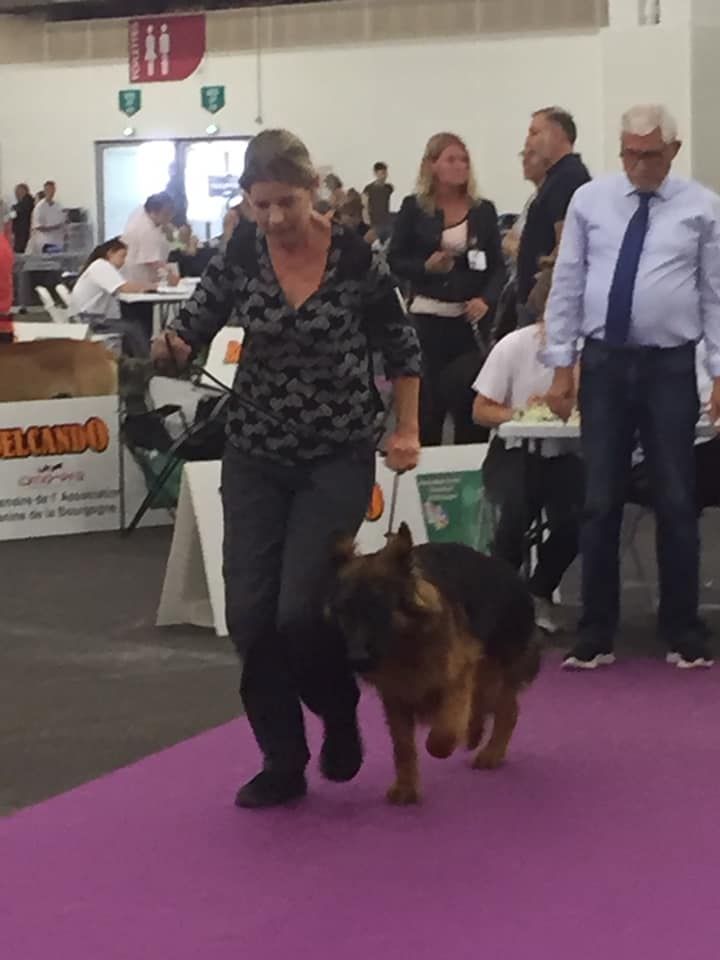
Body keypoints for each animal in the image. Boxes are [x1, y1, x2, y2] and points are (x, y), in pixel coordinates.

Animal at [328, 524, 540, 804]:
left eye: (378, 608)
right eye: (344, 612)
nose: (357, 660)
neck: (407, 647)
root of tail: (512, 575)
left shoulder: (456, 679)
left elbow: (443, 734)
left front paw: (440, 746)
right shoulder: (395, 698)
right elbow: (403, 746)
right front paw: (406, 786)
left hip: (490, 676)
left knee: (507, 710)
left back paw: (490, 752)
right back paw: (476, 736)